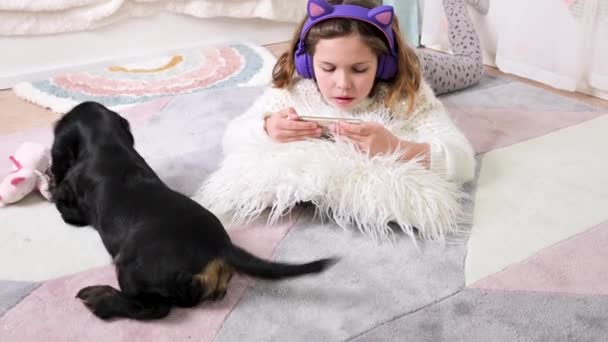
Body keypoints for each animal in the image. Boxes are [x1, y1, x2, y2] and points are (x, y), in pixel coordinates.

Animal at [51, 101, 338, 320]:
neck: (106, 143)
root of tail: (222, 248)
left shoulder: (74, 201)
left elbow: (65, 206)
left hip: (131, 267)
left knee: (154, 308)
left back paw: (100, 299)